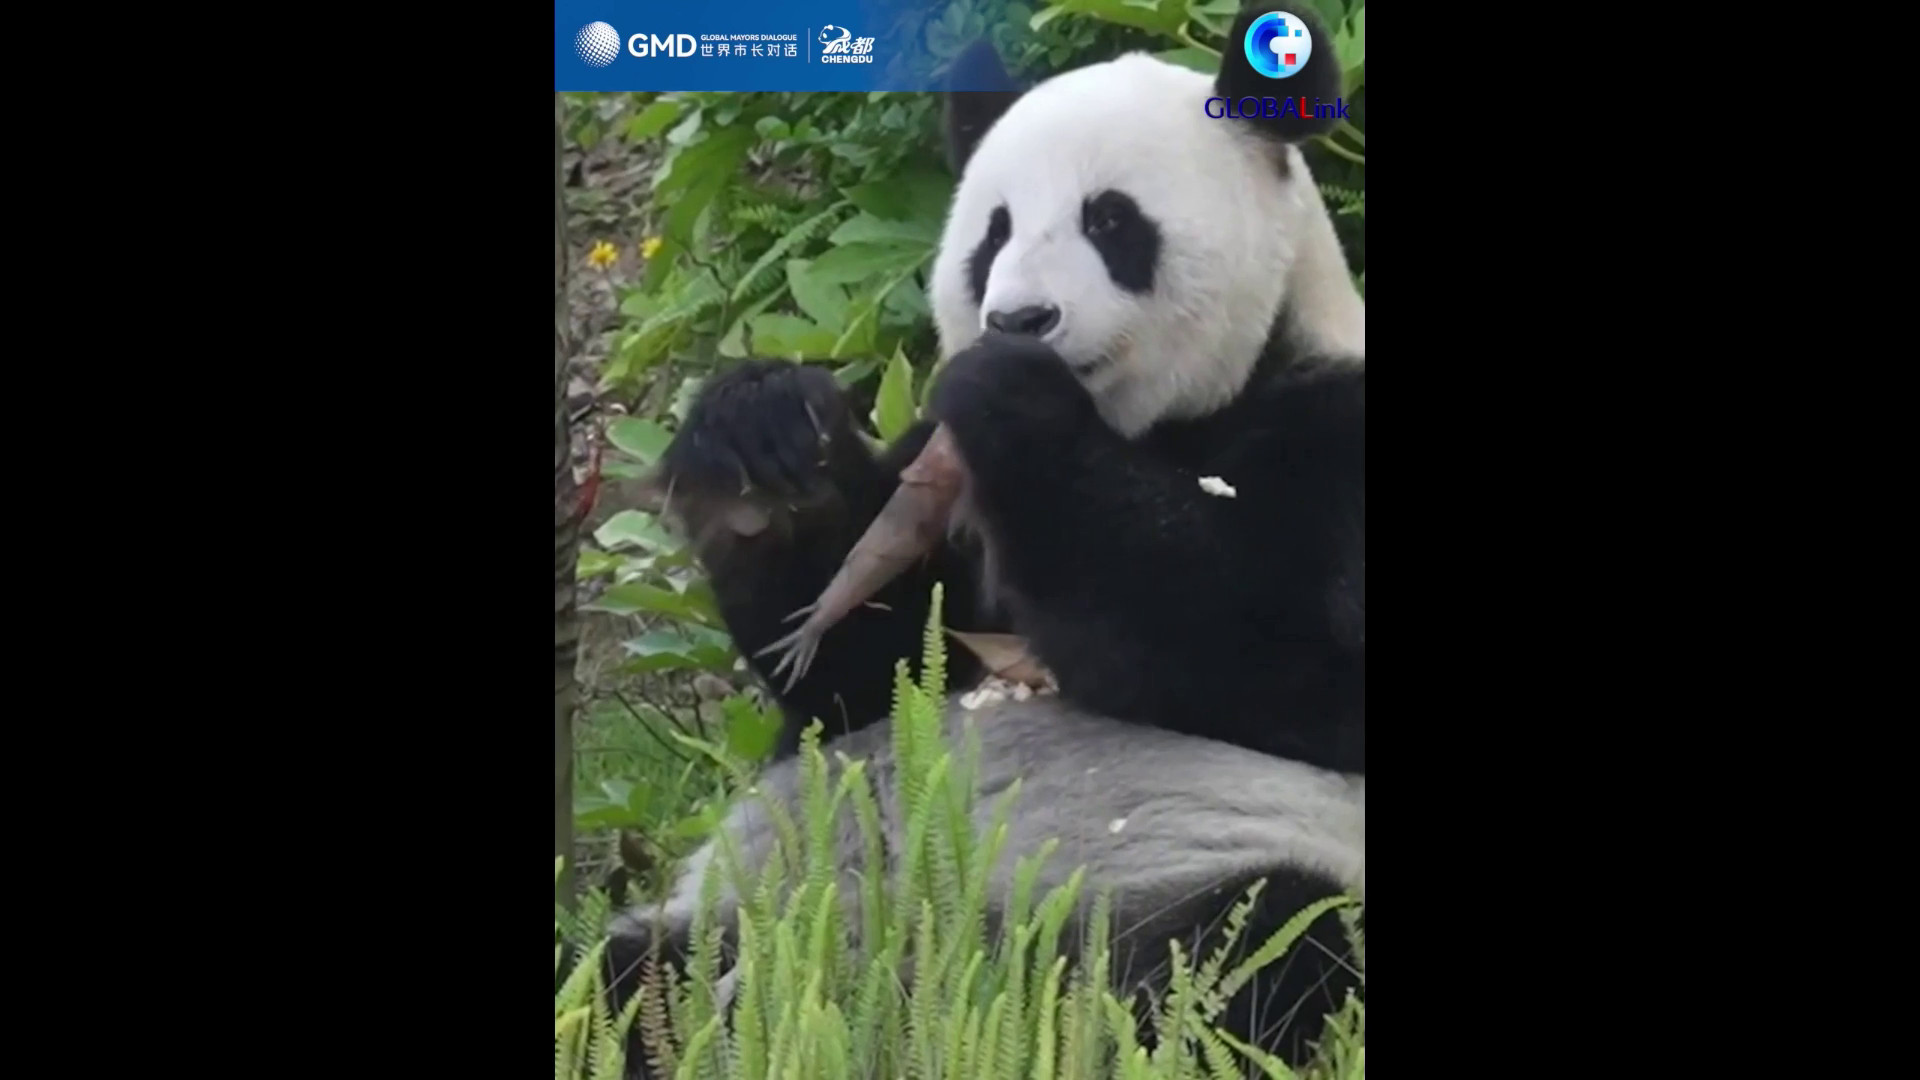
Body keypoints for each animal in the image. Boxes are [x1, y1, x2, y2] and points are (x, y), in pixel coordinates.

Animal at [599, 3, 1364, 1072]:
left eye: (1112, 222)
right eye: (992, 232)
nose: (1020, 318)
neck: (1158, 424)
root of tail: (916, 963)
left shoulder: (1329, 430)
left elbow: (1278, 656)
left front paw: (1014, 400)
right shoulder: (933, 480)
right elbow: (861, 666)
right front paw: (761, 433)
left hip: (1215, 864)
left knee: (1257, 953)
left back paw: (1070, 1017)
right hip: (751, 899)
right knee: (628, 975)